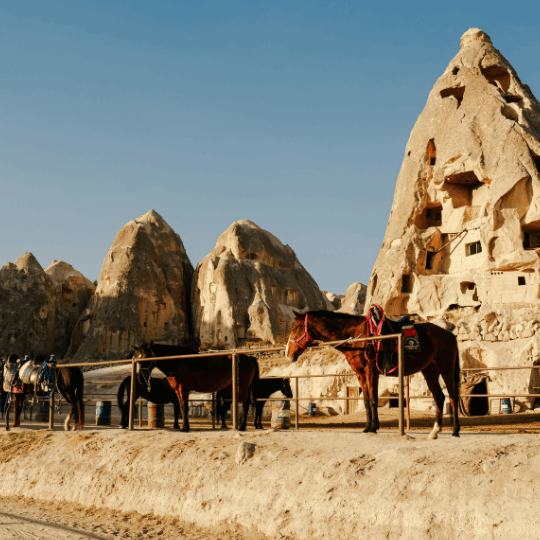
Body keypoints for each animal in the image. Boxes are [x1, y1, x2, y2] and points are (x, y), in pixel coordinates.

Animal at [130, 344, 258, 432]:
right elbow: (181, 407)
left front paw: (185, 428)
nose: (140, 378)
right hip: (230, 389)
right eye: (136, 357)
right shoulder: (178, 390)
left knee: (245, 403)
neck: (178, 362)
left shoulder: (184, 389)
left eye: (146, 357)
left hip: (242, 386)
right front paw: (183, 426)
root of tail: (249, 358)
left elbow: (184, 407)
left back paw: (241, 427)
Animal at [286, 308, 460, 438]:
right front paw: (368, 427)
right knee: (439, 397)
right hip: (429, 370)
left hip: (446, 368)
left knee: (452, 395)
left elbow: (373, 400)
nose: (288, 353)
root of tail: (450, 335)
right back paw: (435, 431)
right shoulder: (361, 375)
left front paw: (374, 427)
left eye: (294, 329)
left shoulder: (371, 372)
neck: (358, 337)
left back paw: (455, 430)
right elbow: (366, 401)